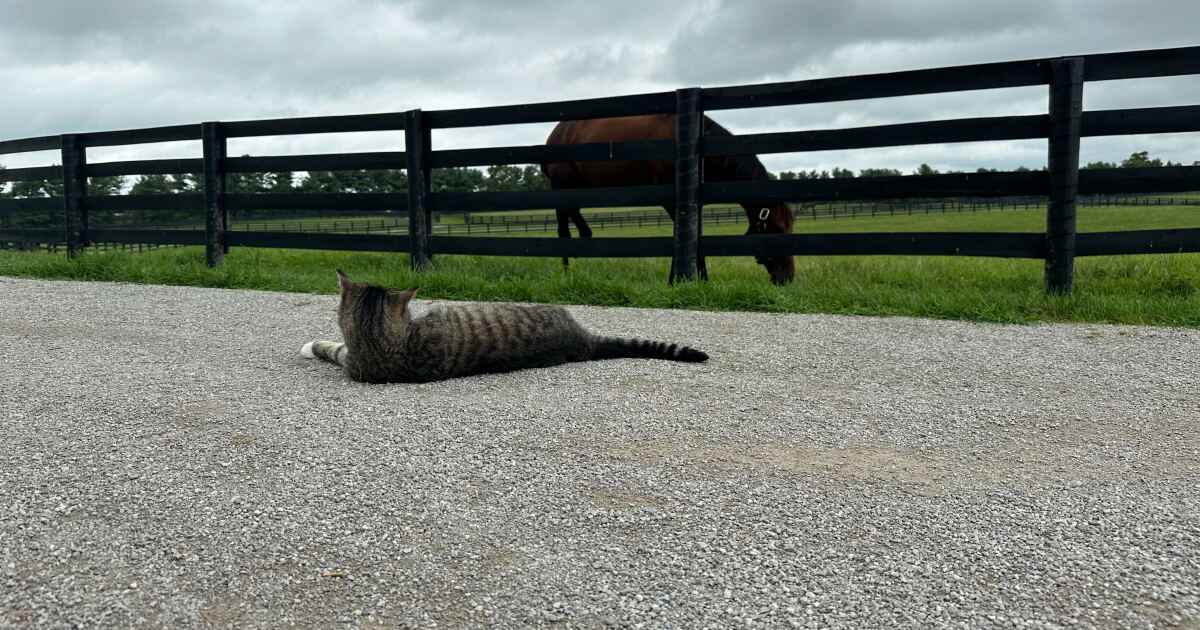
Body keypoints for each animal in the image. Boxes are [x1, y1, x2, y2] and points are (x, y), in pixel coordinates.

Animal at [542, 114, 795, 285]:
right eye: (776, 228)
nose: (788, 277)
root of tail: (554, 134)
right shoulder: (673, 203)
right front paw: (683, 280)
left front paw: (694, 280)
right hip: (561, 187)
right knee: (563, 230)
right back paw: (566, 273)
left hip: (577, 187)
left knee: (574, 214)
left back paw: (584, 236)